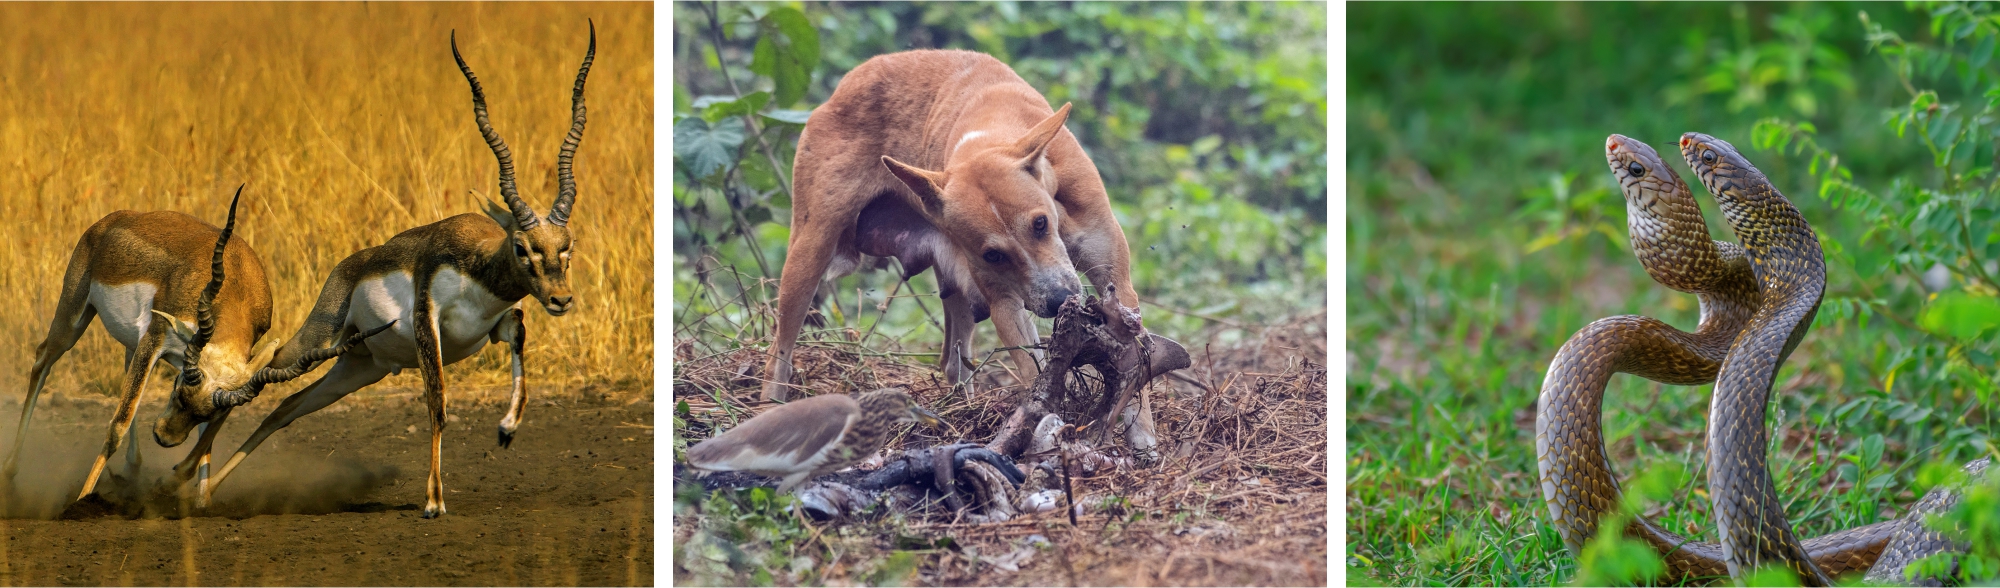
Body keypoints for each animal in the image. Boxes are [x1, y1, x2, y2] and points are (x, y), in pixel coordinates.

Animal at [6, 188, 386, 506]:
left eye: (202, 411)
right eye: (177, 393)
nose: (164, 438)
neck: (236, 282)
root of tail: (110, 222)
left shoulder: (227, 375)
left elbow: (206, 441)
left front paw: (198, 501)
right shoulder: (156, 337)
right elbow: (119, 422)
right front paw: (82, 501)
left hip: (134, 343)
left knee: (124, 366)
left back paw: (131, 471)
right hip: (74, 318)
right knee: (42, 359)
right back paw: (11, 472)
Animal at [158, 24, 592, 520]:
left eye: (567, 245)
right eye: (522, 247)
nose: (561, 299)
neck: (479, 269)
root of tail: (348, 266)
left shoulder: (498, 325)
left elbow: (518, 346)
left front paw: (506, 429)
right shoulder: (427, 323)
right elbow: (438, 404)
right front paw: (433, 500)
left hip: (360, 366)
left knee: (285, 407)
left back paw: (200, 489)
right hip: (320, 341)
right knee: (258, 376)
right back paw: (178, 469)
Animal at [756, 50, 1152, 446]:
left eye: (1040, 224)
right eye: (993, 255)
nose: (1057, 301)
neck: (987, 132)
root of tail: (844, 85)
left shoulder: (1115, 281)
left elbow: (1133, 372)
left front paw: (1143, 440)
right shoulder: (1005, 304)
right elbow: (1033, 371)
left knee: (952, 361)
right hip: (808, 253)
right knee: (778, 354)